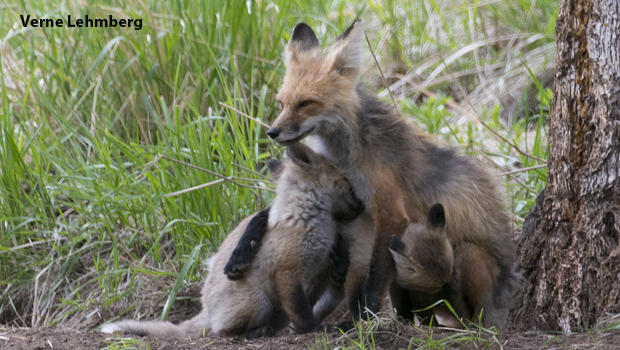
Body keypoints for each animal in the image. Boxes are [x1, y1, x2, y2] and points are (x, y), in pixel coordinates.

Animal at [101, 144, 364, 338]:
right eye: (345, 182)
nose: (362, 206)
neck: (306, 219)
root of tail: (206, 309)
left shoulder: (317, 269)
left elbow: (309, 302)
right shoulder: (287, 270)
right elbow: (301, 310)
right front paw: (312, 330)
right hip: (259, 301)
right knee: (222, 331)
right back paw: (252, 333)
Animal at [225, 19, 520, 326]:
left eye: (306, 103)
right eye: (281, 103)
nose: (272, 132)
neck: (347, 156)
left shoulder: (389, 212)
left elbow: (375, 274)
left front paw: (364, 317)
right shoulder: (345, 194)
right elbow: (266, 213)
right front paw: (240, 252)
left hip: (465, 256)